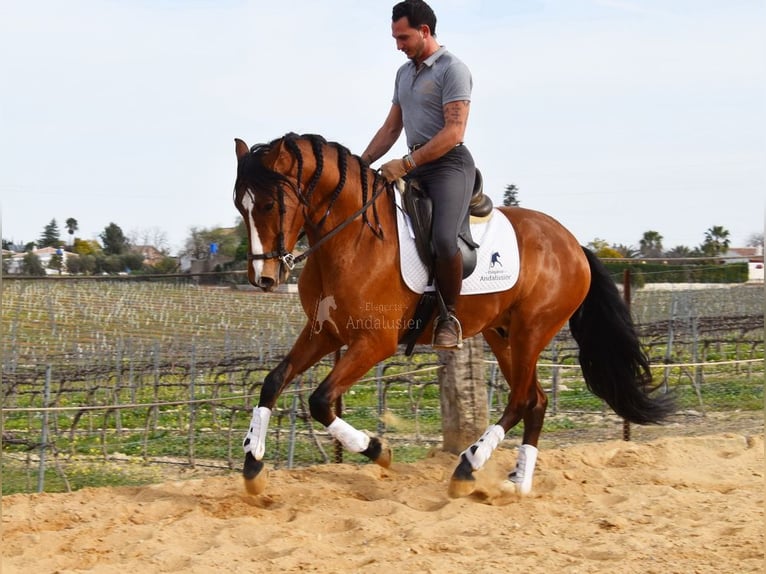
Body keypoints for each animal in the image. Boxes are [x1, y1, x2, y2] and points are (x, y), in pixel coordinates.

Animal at [232, 133, 672, 498]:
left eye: (269, 204)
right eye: (240, 206)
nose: (264, 278)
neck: (351, 239)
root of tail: (573, 244)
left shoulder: (373, 343)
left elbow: (321, 401)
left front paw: (378, 449)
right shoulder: (325, 331)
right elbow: (273, 381)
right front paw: (253, 462)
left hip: (533, 329)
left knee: (520, 399)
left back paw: (469, 466)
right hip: (502, 333)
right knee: (536, 399)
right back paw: (518, 482)